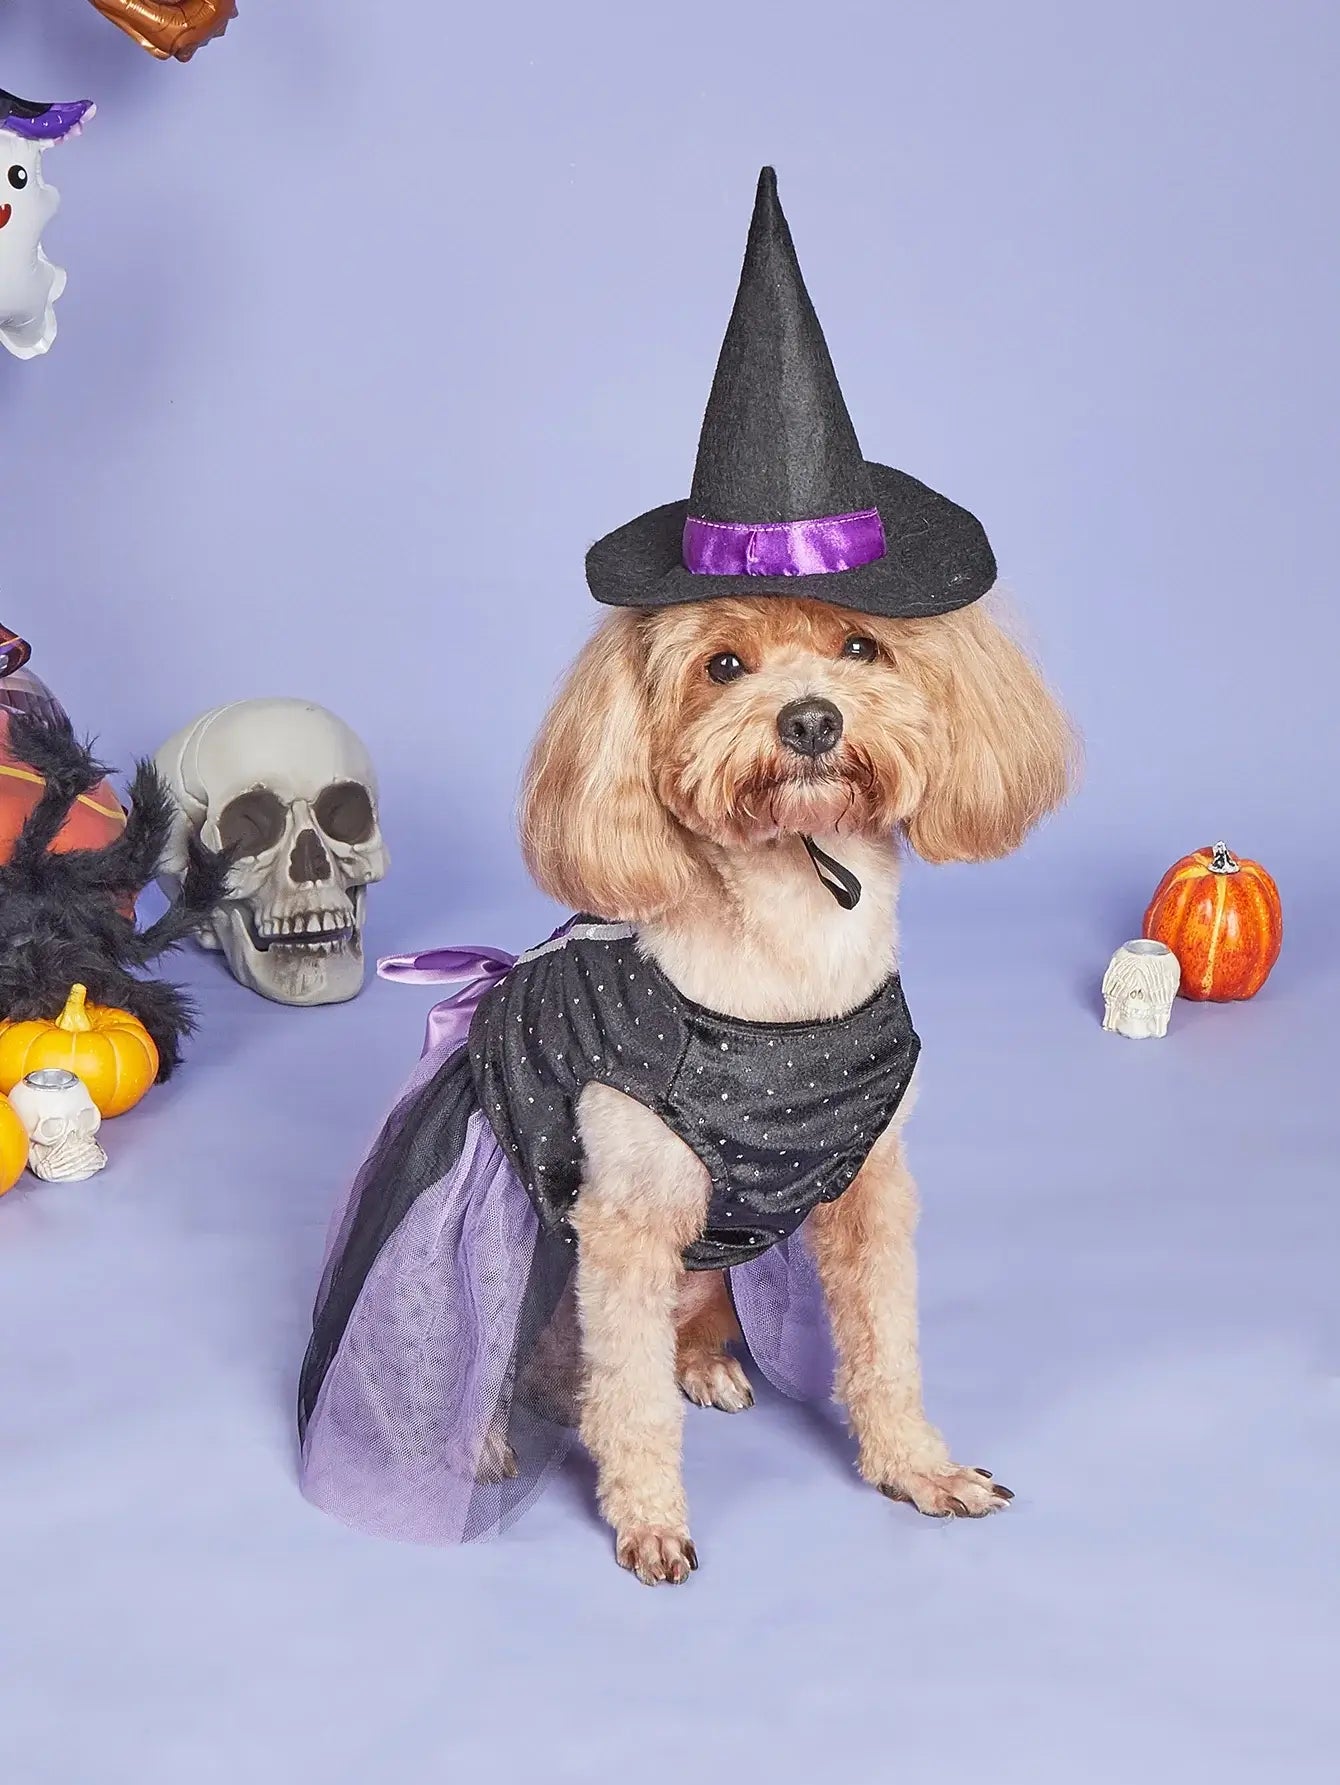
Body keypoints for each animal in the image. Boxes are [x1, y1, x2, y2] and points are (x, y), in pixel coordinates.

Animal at [517, 592, 1077, 1585]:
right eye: (722, 666)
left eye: (861, 644)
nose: (811, 720)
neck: (793, 955)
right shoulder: (625, 1224)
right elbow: (629, 1394)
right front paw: (649, 1516)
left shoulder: (873, 1188)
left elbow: (887, 1342)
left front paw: (915, 1465)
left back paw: (703, 1362)